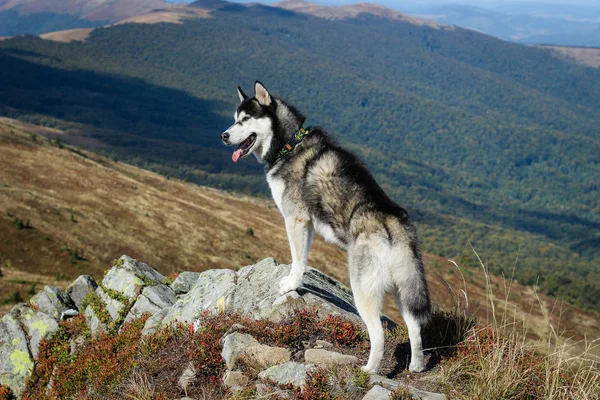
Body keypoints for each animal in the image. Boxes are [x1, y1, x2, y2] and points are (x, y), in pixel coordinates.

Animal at [221, 83, 432, 374]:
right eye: (234, 118)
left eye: (245, 119)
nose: (224, 135)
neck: (290, 145)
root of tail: (393, 222)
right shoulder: (308, 225)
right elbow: (303, 259)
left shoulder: (296, 219)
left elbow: (298, 260)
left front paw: (291, 285)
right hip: (405, 288)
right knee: (415, 327)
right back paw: (416, 365)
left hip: (362, 288)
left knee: (377, 332)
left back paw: (369, 370)